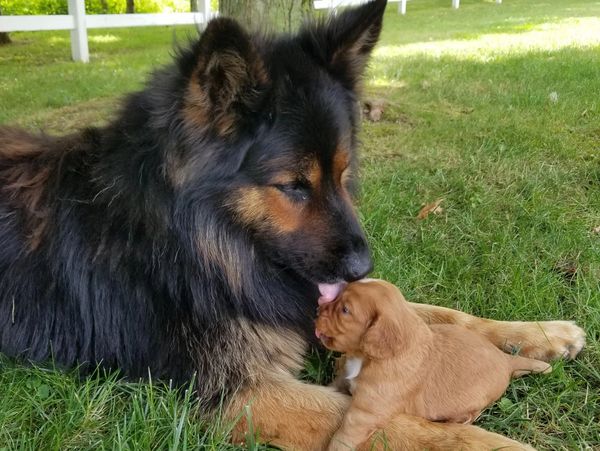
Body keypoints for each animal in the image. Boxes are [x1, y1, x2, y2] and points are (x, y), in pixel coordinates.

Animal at [316, 278, 552, 451]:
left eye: (345, 310)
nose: (318, 309)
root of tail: (506, 360)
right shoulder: (345, 380)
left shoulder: (367, 411)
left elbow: (344, 435)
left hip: (472, 404)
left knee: (468, 416)